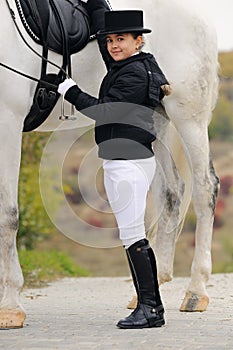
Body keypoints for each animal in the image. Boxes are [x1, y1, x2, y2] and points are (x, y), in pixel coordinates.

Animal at [0, 0, 218, 328]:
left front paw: (11, 307)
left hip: (187, 117)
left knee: (206, 189)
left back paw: (195, 292)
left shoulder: (8, 123)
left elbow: (8, 216)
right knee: (172, 193)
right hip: (156, 118)